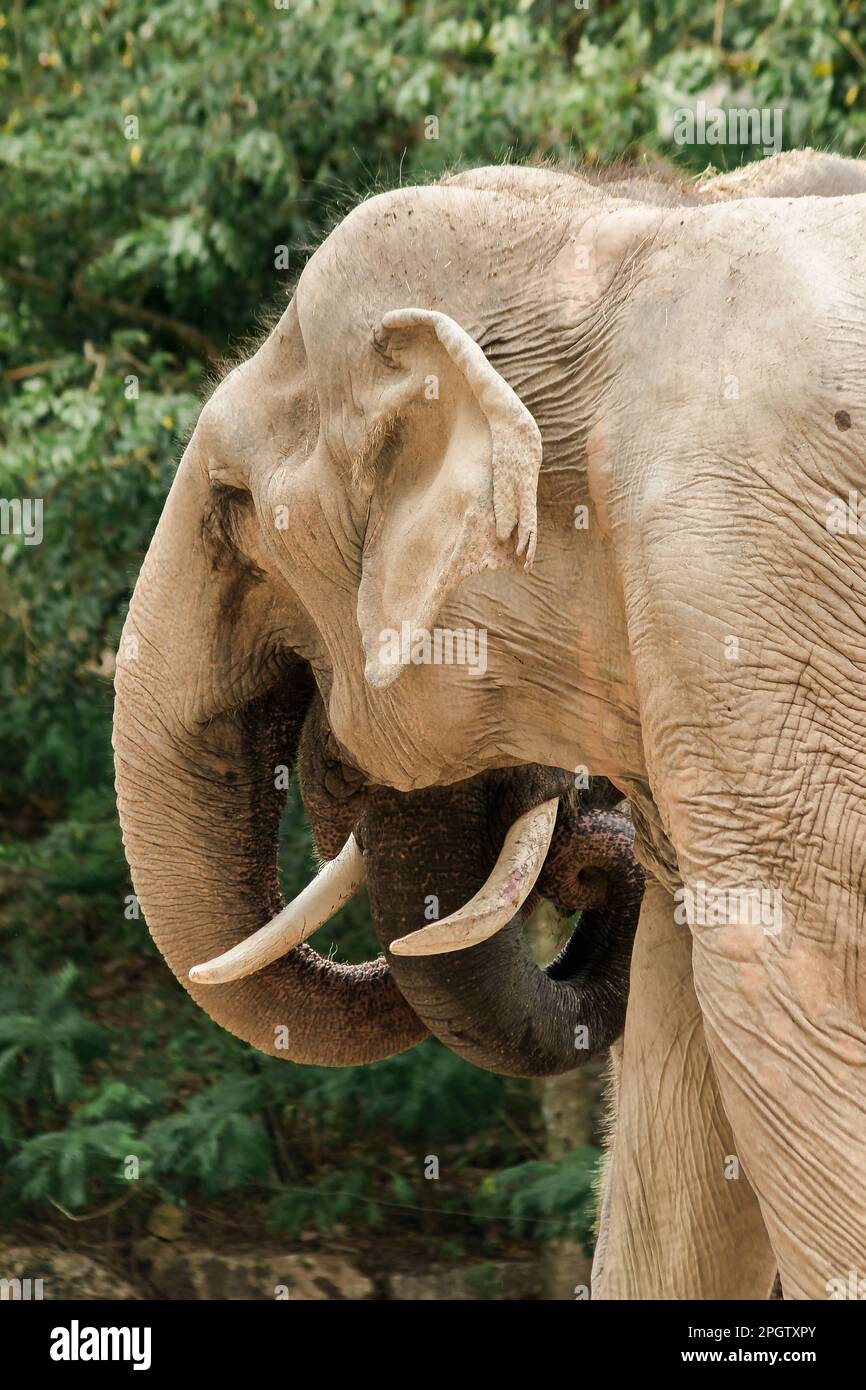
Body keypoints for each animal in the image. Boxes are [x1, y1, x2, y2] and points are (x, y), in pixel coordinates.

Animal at [116, 152, 866, 1301]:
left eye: (235, 507)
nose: (589, 846)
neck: (631, 240)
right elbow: (686, 1055)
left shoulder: (744, 590)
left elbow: (788, 1000)